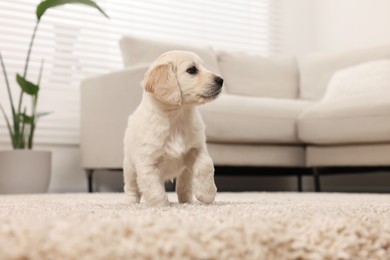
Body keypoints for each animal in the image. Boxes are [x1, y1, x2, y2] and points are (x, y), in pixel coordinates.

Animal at [123, 49, 224, 206]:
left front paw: (207, 194)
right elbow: (155, 189)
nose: (221, 80)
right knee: (131, 187)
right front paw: (162, 206)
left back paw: (187, 201)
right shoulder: (148, 163)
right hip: (129, 168)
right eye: (192, 70)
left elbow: (206, 165)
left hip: (185, 172)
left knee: (184, 185)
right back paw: (130, 201)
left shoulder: (197, 148)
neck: (177, 118)